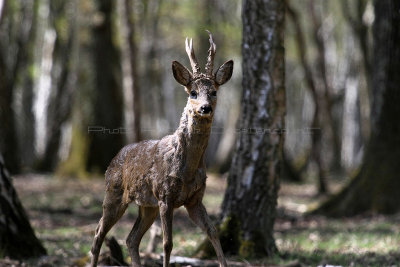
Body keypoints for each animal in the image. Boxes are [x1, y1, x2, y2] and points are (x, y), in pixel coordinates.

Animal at [90, 31, 233, 267]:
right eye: (193, 92)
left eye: (213, 91)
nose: (205, 108)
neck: (188, 167)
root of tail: (114, 158)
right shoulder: (165, 196)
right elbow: (167, 244)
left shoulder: (194, 200)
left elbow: (213, 231)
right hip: (114, 193)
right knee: (98, 234)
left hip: (147, 205)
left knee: (131, 238)